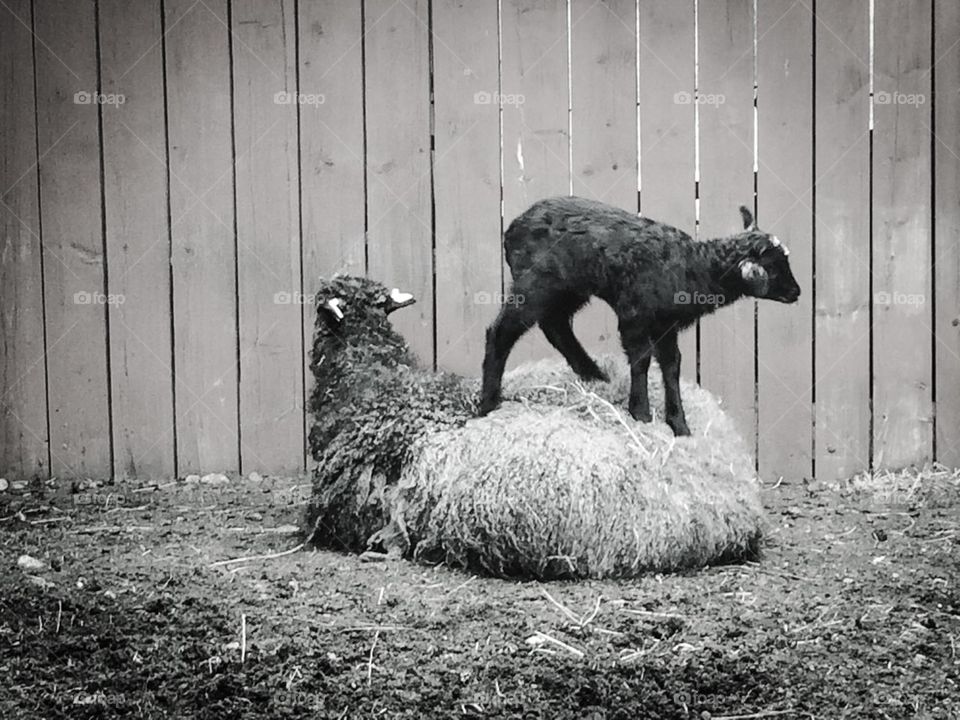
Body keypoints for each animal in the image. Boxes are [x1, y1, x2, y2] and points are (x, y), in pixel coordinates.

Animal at [479, 196, 801, 437]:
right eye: (774, 267)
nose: (797, 292)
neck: (692, 268)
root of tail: (512, 229)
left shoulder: (665, 324)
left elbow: (672, 365)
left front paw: (679, 425)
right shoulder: (634, 315)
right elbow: (642, 359)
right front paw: (641, 413)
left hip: (569, 288)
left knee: (555, 325)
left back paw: (595, 375)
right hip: (535, 284)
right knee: (501, 332)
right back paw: (488, 404)